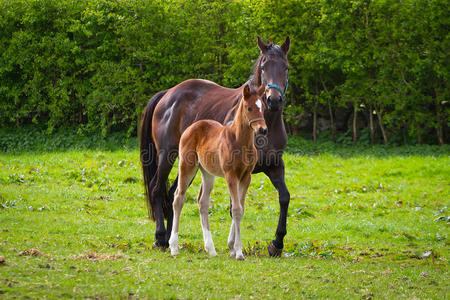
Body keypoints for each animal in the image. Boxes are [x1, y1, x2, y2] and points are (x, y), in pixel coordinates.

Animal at [169, 84, 268, 260]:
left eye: (263, 107)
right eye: (249, 108)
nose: (263, 129)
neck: (240, 142)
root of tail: (192, 126)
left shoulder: (246, 177)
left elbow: (240, 208)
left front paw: (232, 247)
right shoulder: (231, 176)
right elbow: (236, 209)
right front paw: (238, 251)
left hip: (207, 173)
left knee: (203, 202)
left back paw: (210, 248)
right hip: (187, 166)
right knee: (178, 198)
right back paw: (174, 247)